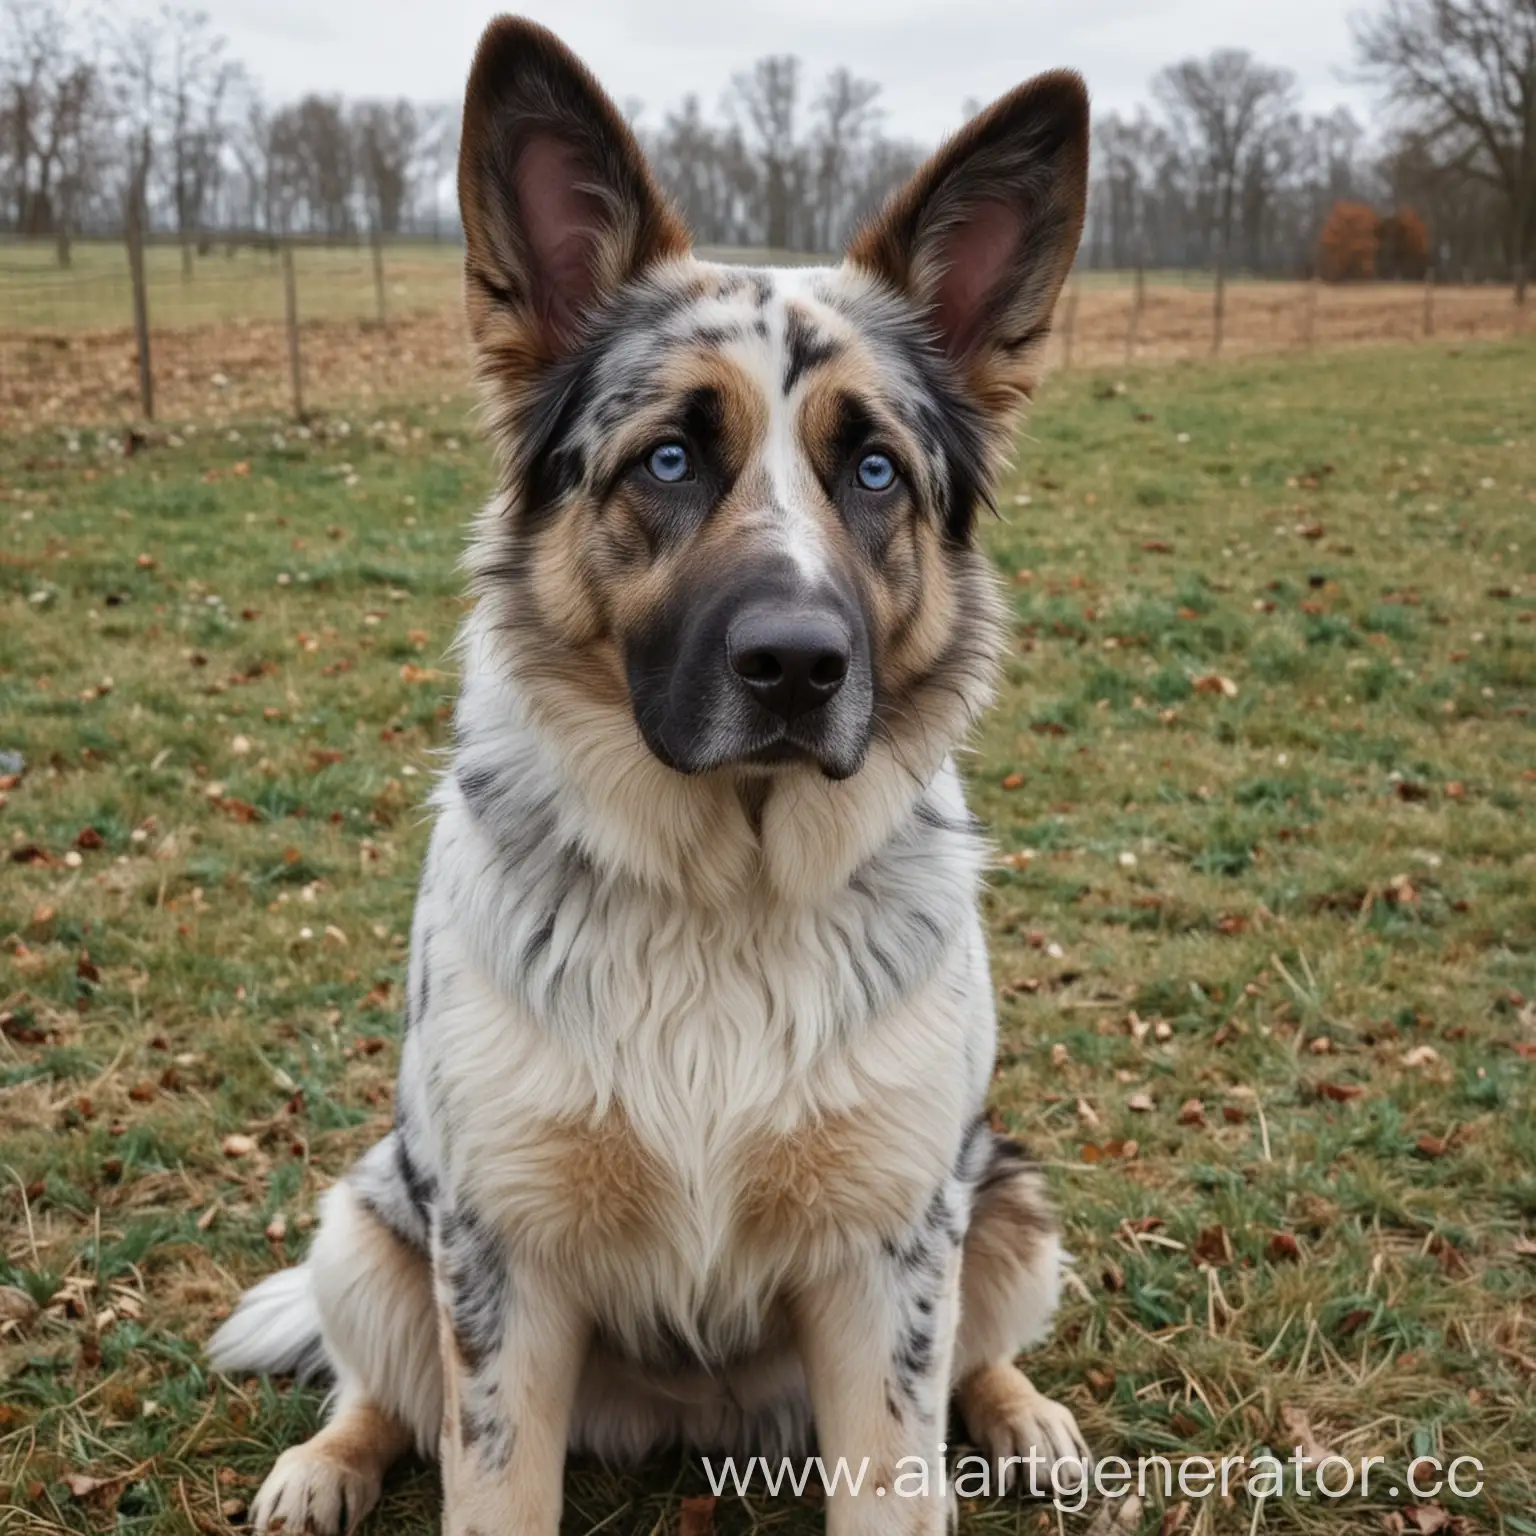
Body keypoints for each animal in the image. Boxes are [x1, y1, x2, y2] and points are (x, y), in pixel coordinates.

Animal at [210, 14, 1093, 1536]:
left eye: (874, 472)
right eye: (672, 457)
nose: (797, 667)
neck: (722, 892)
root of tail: (694, 1418)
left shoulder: (887, 1264)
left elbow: (900, 1471)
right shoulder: (502, 1261)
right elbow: (485, 1480)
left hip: (1005, 1205)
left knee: (980, 1353)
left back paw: (1022, 1413)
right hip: (370, 1226)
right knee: (383, 1387)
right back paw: (324, 1464)